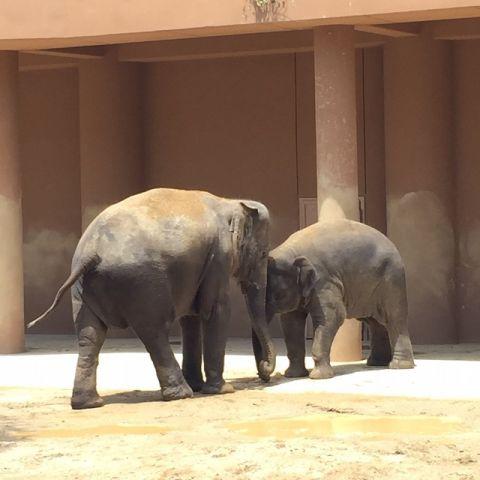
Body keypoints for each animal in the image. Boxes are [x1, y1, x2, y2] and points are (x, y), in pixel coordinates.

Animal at [30, 188, 276, 408]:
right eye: (263, 254)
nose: (263, 373)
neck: (231, 201)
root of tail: (92, 251)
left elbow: (191, 318)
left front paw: (200, 386)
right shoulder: (219, 258)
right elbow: (216, 311)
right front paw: (222, 390)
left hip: (83, 288)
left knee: (89, 334)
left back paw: (89, 403)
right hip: (141, 282)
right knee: (154, 332)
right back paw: (182, 394)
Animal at [256, 219, 414, 380]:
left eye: (275, 296)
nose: (264, 375)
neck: (291, 251)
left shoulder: (323, 280)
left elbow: (334, 316)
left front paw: (318, 377)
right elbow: (291, 322)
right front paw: (293, 376)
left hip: (392, 279)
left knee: (394, 318)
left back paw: (399, 366)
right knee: (374, 322)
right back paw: (376, 364)